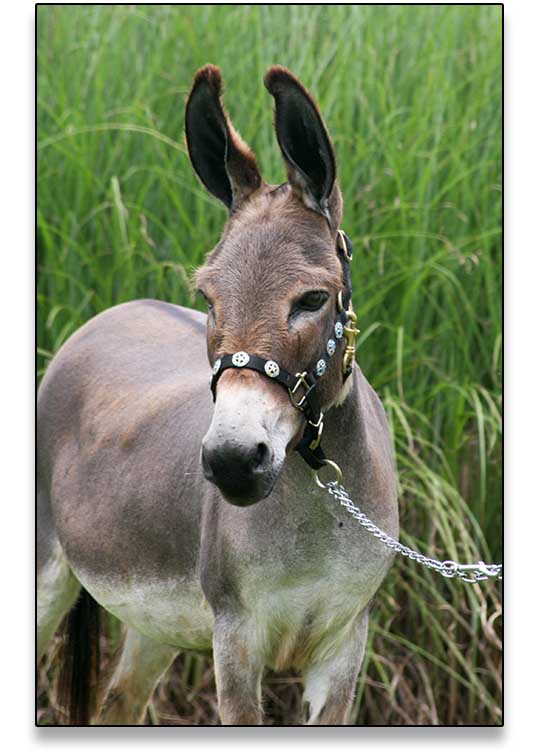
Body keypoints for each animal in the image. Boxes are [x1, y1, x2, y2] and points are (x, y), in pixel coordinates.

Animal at [37, 64, 399, 726]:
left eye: (313, 299)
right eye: (207, 297)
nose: (232, 460)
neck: (316, 510)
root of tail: (112, 313)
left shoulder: (344, 643)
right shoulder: (235, 640)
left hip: (154, 618)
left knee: (118, 705)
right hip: (44, 561)